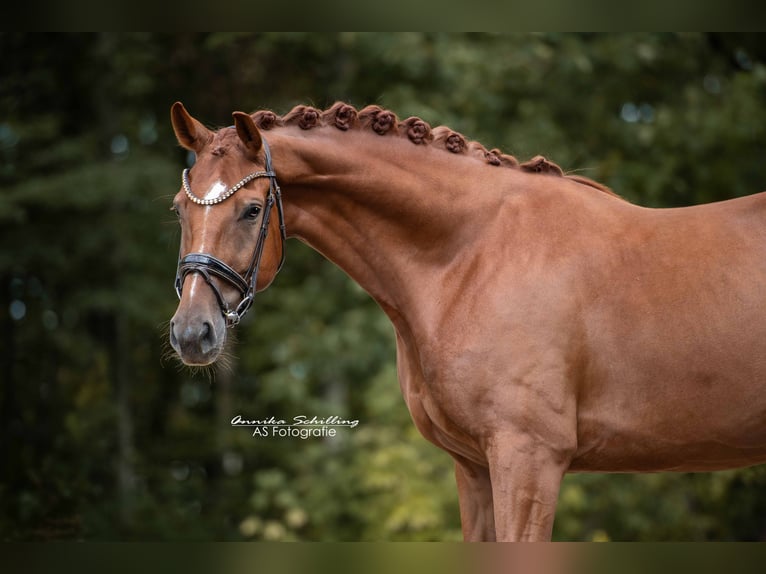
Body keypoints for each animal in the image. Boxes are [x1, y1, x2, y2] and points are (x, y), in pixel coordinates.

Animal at [167, 101, 766, 541]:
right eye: (179, 208)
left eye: (251, 210)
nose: (192, 332)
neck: (471, 253)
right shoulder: (474, 466)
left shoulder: (529, 457)